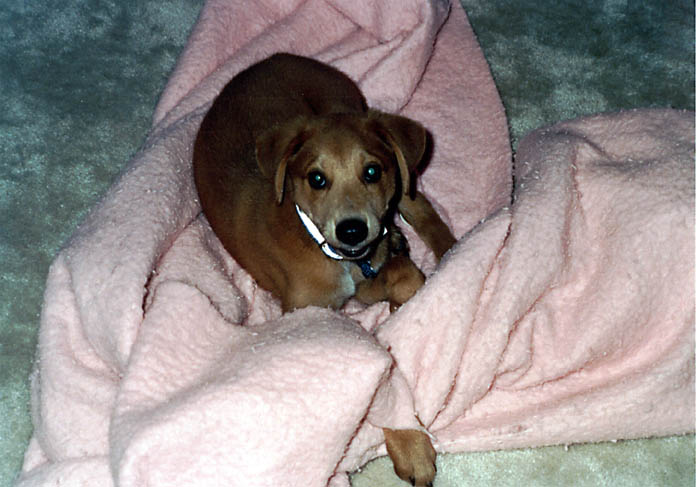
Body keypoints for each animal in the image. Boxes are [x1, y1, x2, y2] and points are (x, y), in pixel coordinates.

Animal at [193, 53, 454, 487]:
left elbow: (405, 280)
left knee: (421, 208)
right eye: (316, 178)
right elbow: (378, 377)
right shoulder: (316, 313)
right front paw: (411, 443)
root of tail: (278, 56)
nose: (352, 229)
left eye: (372, 171)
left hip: (391, 165)